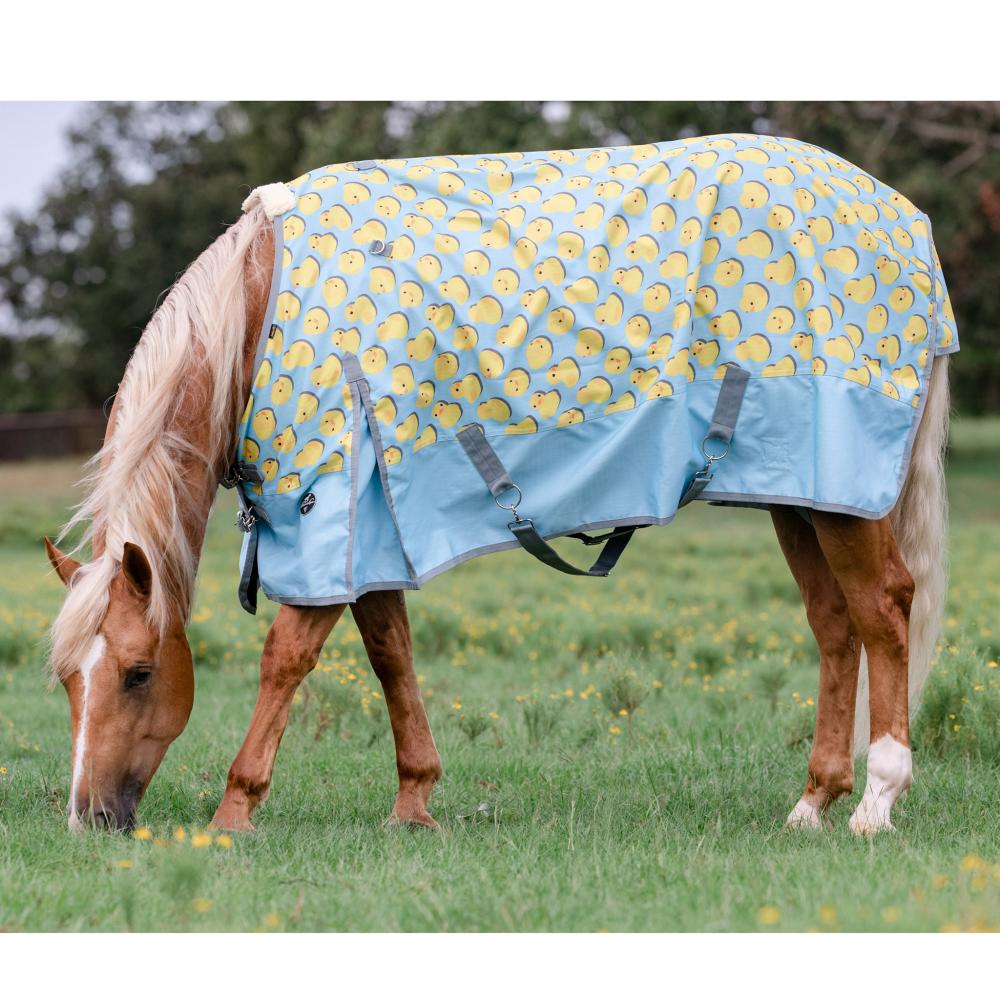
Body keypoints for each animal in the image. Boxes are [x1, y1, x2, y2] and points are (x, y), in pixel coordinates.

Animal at [45, 133, 952, 836]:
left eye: (138, 673)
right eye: (64, 679)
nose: (89, 819)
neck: (261, 310)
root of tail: (900, 213)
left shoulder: (330, 515)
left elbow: (286, 660)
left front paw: (234, 816)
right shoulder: (375, 524)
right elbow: (392, 653)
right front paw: (413, 804)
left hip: (840, 490)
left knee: (884, 611)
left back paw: (876, 801)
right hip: (800, 494)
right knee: (834, 625)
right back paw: (812, 803)